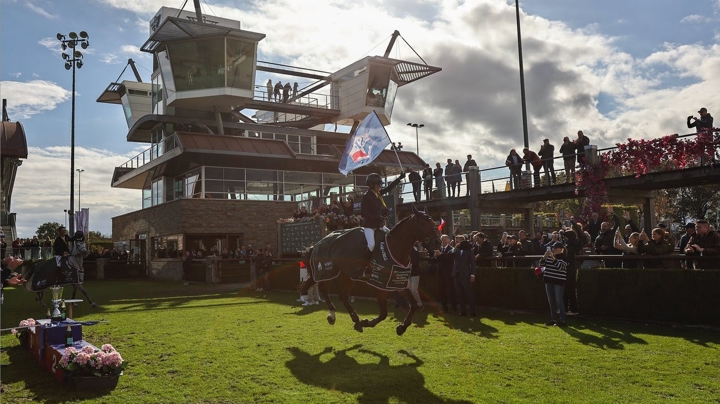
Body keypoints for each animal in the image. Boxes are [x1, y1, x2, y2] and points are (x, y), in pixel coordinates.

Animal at [298, 207, 438, 336]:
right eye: (423, 223)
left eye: (432, 222)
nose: (437, 243)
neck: (394, 248)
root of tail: (318, 243)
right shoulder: (380, 285)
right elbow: (383, 314)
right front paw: (367, 322)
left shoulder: (397, 282)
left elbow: (413, 304)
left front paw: (402, 327)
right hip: (328, 272)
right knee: (324, 289)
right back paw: (334, 316)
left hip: (346, 274)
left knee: (343, 296)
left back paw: (354, 320)